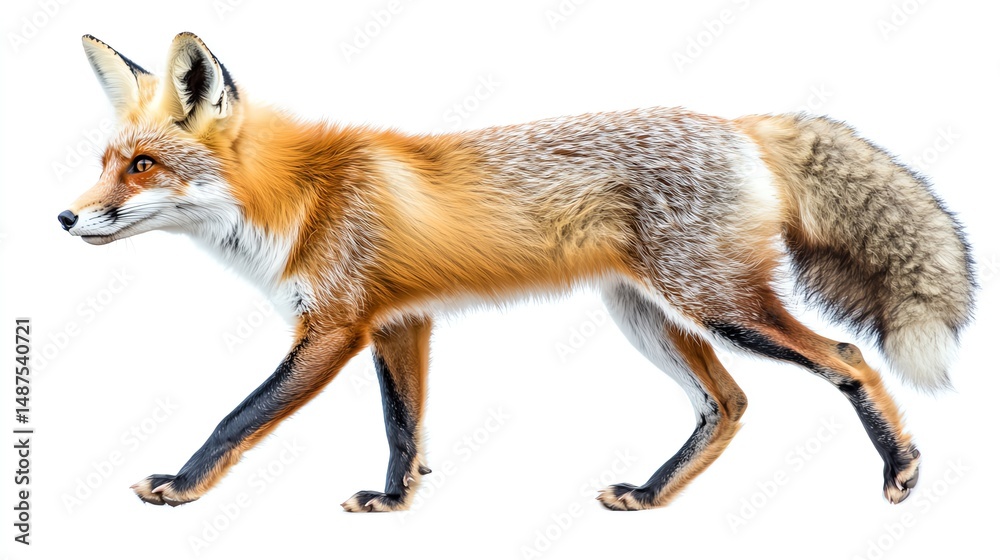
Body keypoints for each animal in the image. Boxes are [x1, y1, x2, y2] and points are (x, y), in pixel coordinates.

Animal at [59, 32, 975, 512]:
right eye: (106, 163)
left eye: (142, 166)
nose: (64, 220)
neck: (302, 195)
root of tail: (739, 124)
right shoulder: (400, 322)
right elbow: (404, 427)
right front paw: (397, 501)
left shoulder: (335, 327)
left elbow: (238, 417)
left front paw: (181, 484)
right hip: (649, 315)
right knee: (730, 404)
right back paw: (652, 497)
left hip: (718, 305)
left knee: (847, 359)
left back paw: (901, 467)